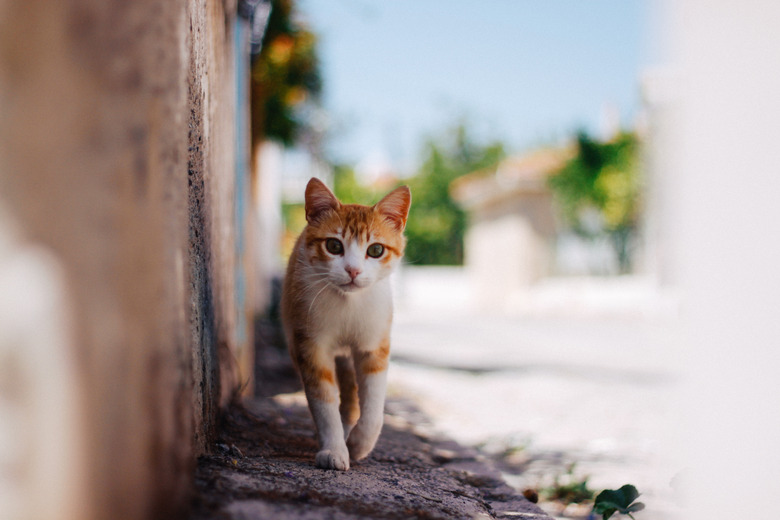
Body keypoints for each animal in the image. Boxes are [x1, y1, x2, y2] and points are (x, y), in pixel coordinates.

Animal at [282, 177, 414, 470]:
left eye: (375, 250)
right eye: (334, 246)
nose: (353, 270)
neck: (348, 305)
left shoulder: (374, 345)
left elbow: (374, 406)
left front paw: (359, 443)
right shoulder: (311, 346)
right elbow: (323, 400)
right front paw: (333, 448)